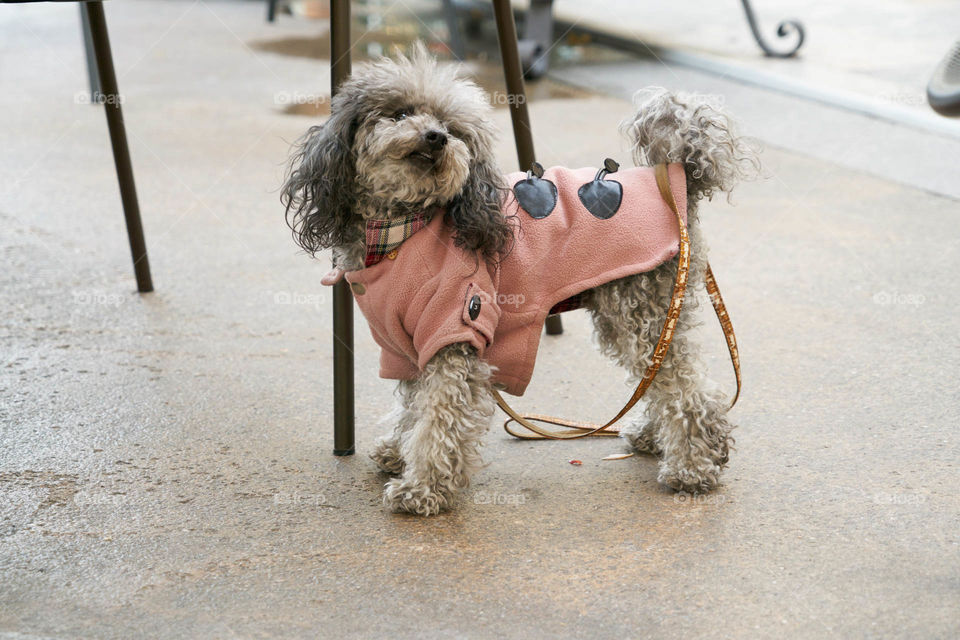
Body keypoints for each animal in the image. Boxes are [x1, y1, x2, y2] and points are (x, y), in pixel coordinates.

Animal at [282, 43, 760, 516]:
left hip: (640, 310)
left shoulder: (456, 330)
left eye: (452, 128)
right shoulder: (403, 342)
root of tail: (678, 178)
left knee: (687, 389)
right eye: (400, 114)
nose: (436, 137)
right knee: (666, 379)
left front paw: (423, 489)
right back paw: (654, 436)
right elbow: (414, 405)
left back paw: (692, 468)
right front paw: (400, 453)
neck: (404, 226)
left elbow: (439, 415)